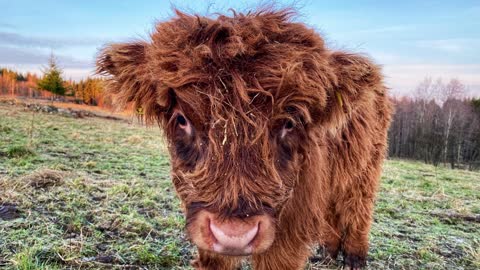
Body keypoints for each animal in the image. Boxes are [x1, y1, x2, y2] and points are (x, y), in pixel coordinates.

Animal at [98, 7, 394, 268]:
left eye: (289, 122)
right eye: (182, 119)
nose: (234, 235)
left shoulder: (289, 233)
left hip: (365, 170)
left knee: (357, 208)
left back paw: (355, 257)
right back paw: (330, 253)